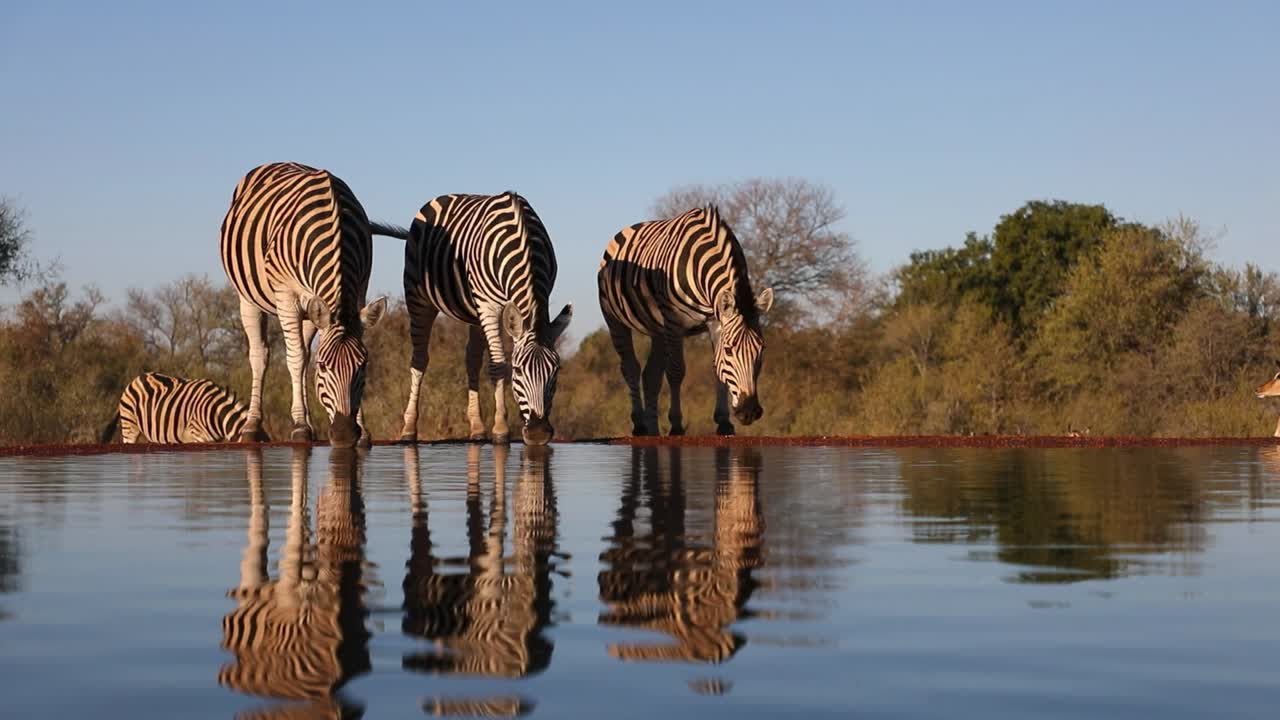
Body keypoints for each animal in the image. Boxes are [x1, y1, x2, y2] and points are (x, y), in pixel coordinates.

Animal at [220, 162, 387, 447]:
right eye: (324, 367)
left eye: (363, 365)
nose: (344, 435)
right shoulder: (286, 294)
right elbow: (295, 358)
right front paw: (299, 426)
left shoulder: (360, 289)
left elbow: (304, 358)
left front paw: (363, 431)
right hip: (248, 297)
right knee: (260, 354)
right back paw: (253, 427)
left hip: (312, 311)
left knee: (302, 350)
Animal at [370, 192, 571, 446]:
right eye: (517, 371)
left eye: (557, 370)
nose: (538, 433)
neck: (523, 241)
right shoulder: (489, 305)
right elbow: (497, 365)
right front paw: (501, 428)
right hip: (419, 297)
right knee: (419, 360)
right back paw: (409, 429)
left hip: (474, 312)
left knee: (472, 359)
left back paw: (477, 427)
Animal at [597, 205, 774, 436]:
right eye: (729, 350)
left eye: (762, 349)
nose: (749, 412)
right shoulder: (674, 321)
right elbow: (676, 371)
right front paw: (676, 425)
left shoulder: (715, 321)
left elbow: (717, 369)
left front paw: (724, 422)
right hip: (615, 321)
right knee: (631, 368)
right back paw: (640, 424)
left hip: (658, 330)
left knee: (650, 375)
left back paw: (653, 429)